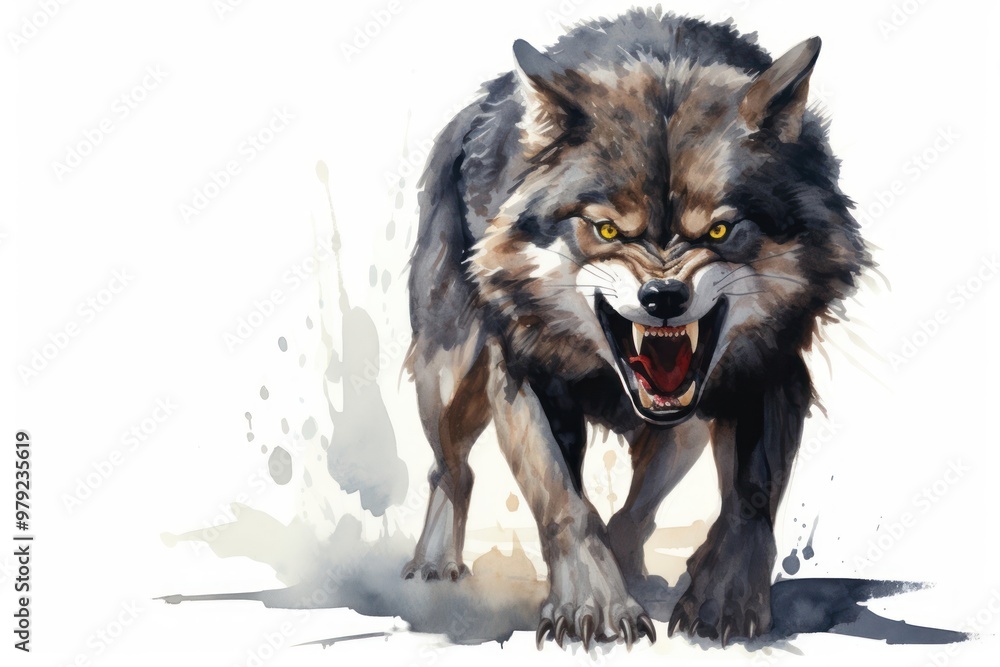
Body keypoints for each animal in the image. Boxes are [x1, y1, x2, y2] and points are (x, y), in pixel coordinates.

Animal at [402, 8, 868, 650]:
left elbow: (750, 498)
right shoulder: (523, 377)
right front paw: (594, 605)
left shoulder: (772, 372)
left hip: (686, 429)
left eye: (718, 232)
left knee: (639, 507)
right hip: (448, 381)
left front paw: (721, 597)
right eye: (606, 230)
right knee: (450, 468)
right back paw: (434, 566)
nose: (664, 296)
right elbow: (565, 501)